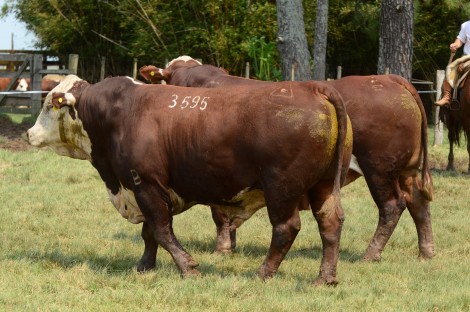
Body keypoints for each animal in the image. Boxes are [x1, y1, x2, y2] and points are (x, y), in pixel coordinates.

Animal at [140, 56, 436, 260]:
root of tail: (389, 79)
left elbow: (219, 213)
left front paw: (223, 248)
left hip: (379, 169)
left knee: (392, 206)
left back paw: (370, 254)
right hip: (406, 170)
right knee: (417, 202)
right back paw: (426, 251)